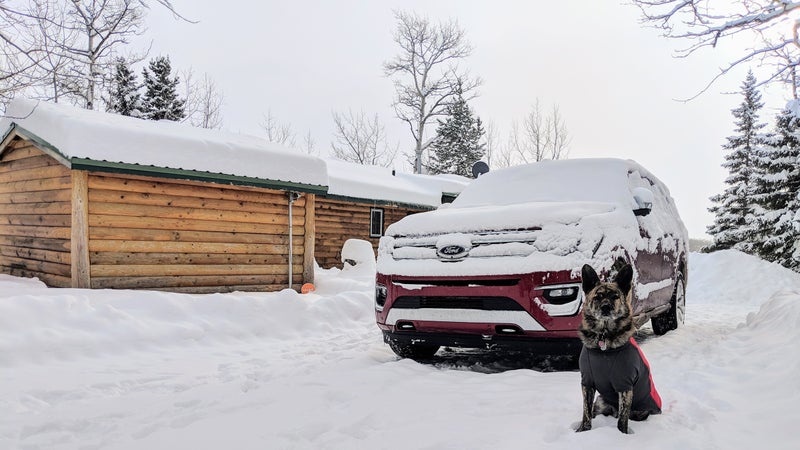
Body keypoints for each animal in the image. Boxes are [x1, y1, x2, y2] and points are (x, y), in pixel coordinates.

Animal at [576, 264, 664, 432]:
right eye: (597, 297)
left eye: (614, 296)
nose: (605, 307)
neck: (604, 339)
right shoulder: (587, 382)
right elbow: (586, 411)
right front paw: (583, 430)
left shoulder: (625, 385)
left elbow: (623, 418)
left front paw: (622, 434)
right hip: (601, 400)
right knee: (595, 410)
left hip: (640, 410)